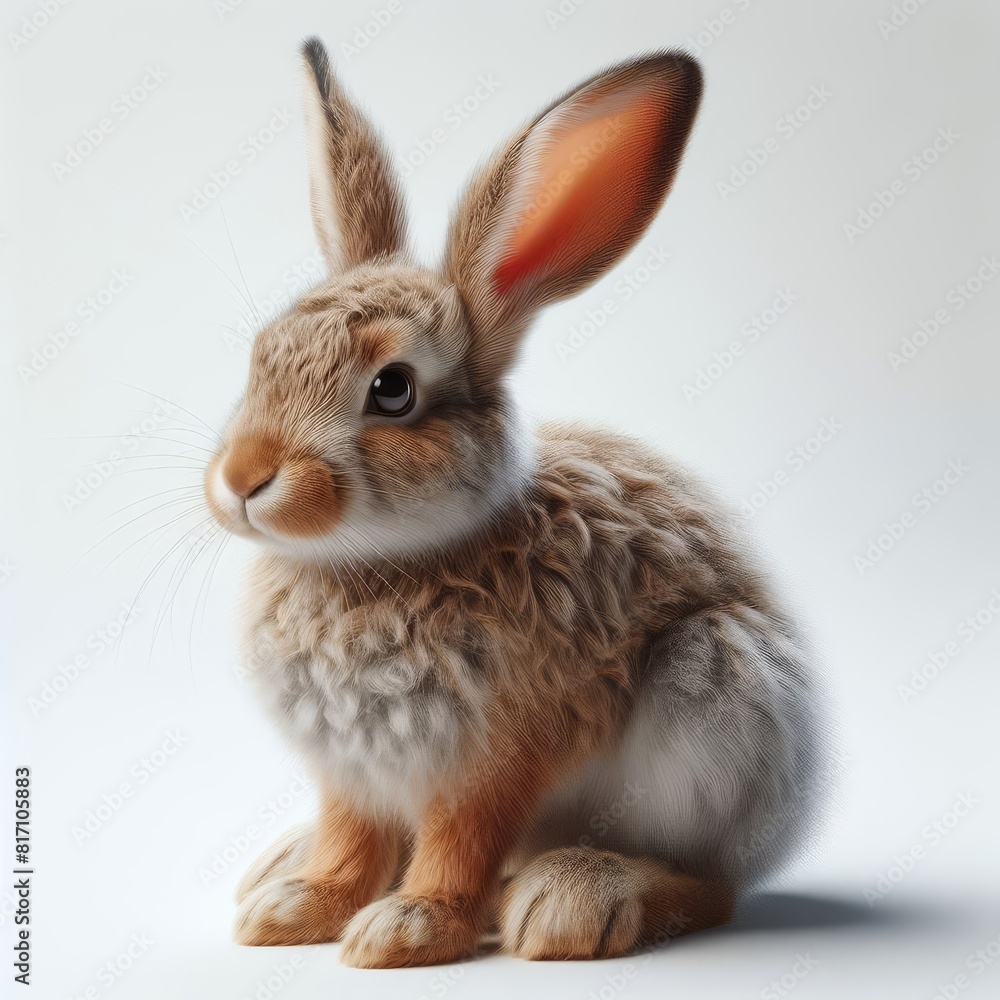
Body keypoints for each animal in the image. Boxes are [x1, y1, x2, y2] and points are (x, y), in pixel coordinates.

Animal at [204, 37, 823, 968]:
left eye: (392, 389)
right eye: (261, 355)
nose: (242, 480)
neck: (375, 564)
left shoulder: (493, 759)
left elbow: (460, 841)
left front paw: (407, 929)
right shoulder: (353, 775)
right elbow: (349, 840)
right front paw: (299, 908)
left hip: (717, 691)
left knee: (710, 885)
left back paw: (571, 899)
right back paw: (279, 867)